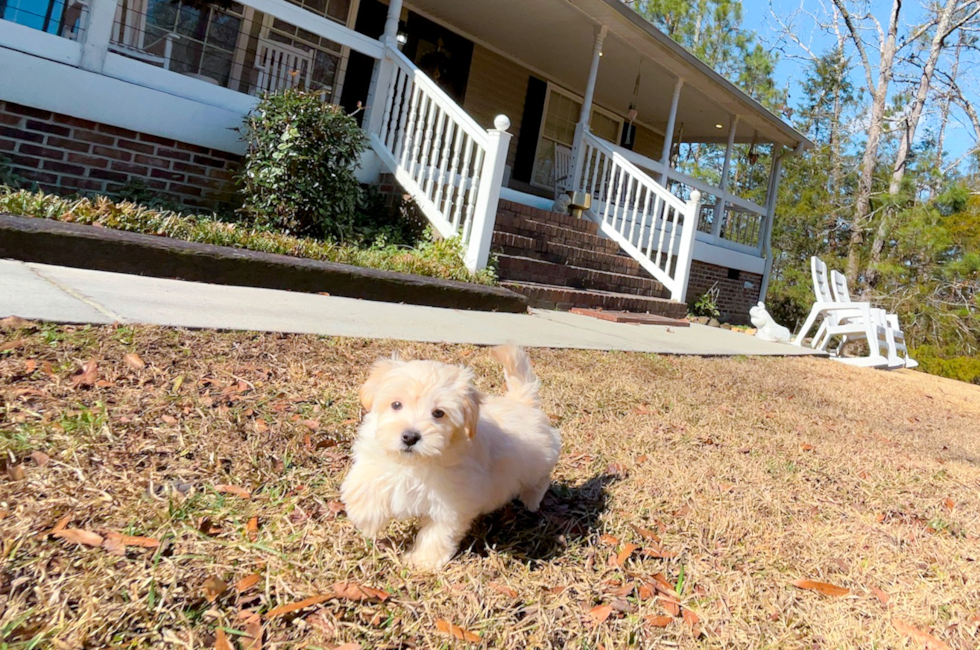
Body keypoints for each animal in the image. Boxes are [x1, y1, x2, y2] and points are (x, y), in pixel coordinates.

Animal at [342, 344, 560, 568]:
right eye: (396, 405)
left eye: (439, 413)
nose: (410, 437)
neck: (416, 463)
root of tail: (524, 402)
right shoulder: (376, 459)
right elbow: (366, 483)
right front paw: (366, 517)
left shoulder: (452, 502)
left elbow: (438, 533)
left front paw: (423, 560)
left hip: (535, 464)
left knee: (542, 478)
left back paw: (532, 500)